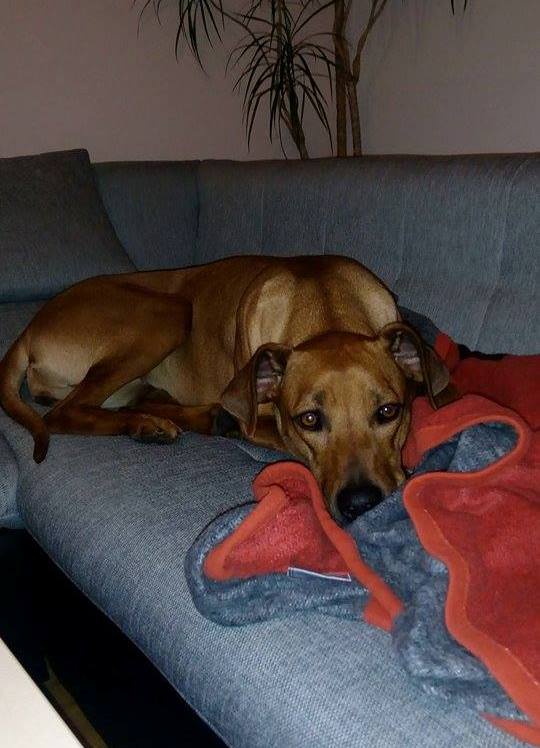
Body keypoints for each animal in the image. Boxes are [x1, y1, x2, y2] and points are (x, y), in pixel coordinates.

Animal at [0, 255, 450, 521]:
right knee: (62, 414)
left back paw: (164, 422)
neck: (324, 302)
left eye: (388, 411)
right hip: (165, 313)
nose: (361, 504)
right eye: (308, 420)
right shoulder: (261, 418)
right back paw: (165, 424)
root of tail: (29, 327)